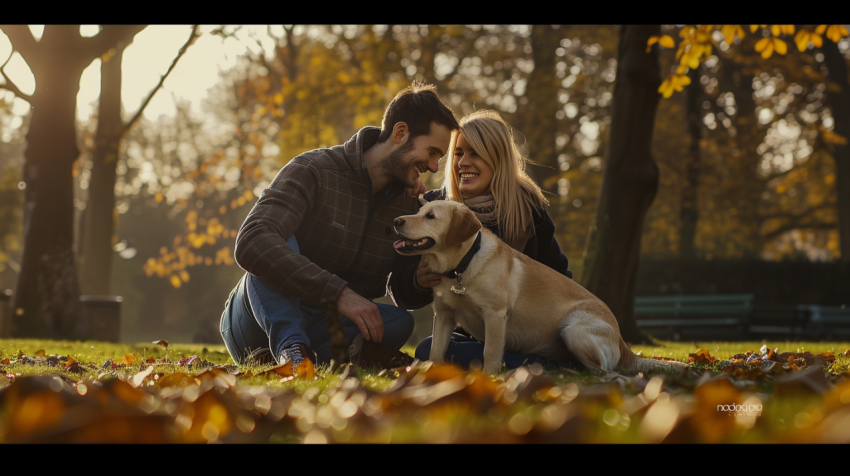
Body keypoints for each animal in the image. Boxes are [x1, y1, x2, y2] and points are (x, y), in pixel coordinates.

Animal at [394, 199, 684, 378]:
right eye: (419, 211)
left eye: (430, 216)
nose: (396, 221)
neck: (460, 268)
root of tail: (625, 345)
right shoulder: (443, 316)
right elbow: (435, 351)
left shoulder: (495, 315)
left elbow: (489, 351)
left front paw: (488, 378)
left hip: (573, 328)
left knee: (604, 370)